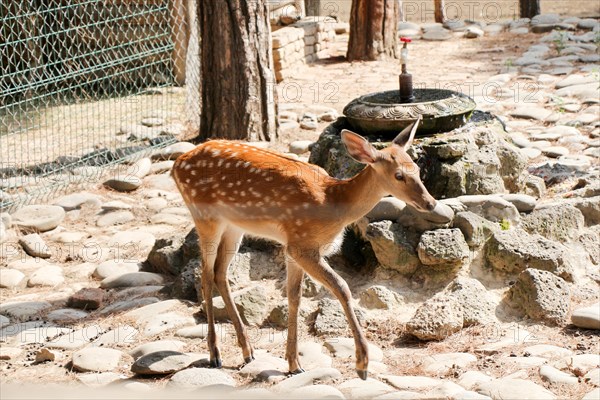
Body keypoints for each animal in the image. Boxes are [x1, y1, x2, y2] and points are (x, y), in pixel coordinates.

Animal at [171, 115, 438, 378]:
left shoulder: (292, 246)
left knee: (220, 272)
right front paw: (362, 364)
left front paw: (293, 363)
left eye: (417, 169)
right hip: (205, 216)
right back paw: (215, 354)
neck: (332, 202)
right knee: (205, 275)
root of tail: (176, 166)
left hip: (234, 226)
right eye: (398, 175)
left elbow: (294, 297)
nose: (431, 203)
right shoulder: (303, 244)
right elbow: (342, 288)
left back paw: (248, 351)